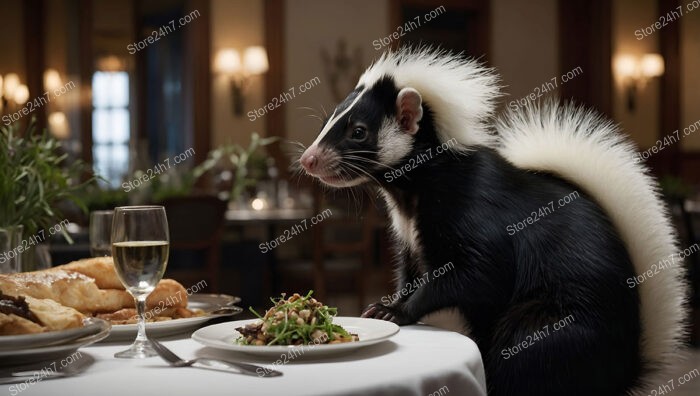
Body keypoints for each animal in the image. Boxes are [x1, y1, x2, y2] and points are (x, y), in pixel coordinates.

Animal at [298, 47, 688, 396]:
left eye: (359, 131)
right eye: (329, 121)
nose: (308, 159)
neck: (414, 190)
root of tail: (624, 367)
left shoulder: (473, 211)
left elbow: (480, 272)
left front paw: (394, 311)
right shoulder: (411, 236)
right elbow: (412, 273)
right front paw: (388, 305)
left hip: (558, 322)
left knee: (523, 349)